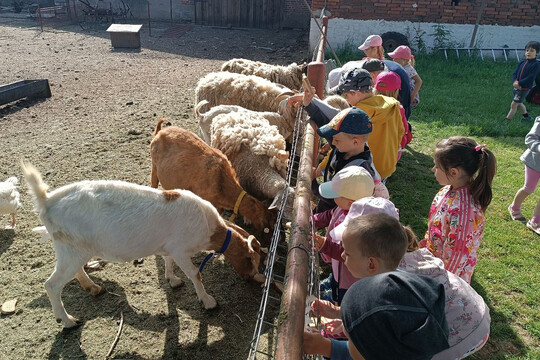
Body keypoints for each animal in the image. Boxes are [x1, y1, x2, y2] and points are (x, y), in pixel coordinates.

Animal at [22, 163, 264, 330]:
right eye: (252, 260)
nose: (256, 279)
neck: (208, 225)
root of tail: (47, 202)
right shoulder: (181, 249)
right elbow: (195, 274)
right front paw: (208, 301)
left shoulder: (168, 246)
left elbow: (168, 261)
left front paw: (172, 280)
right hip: (72, 250)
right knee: (52, 285)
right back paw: (68, 321)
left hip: (73, 248)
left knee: (75, 271)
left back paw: (93, 287)